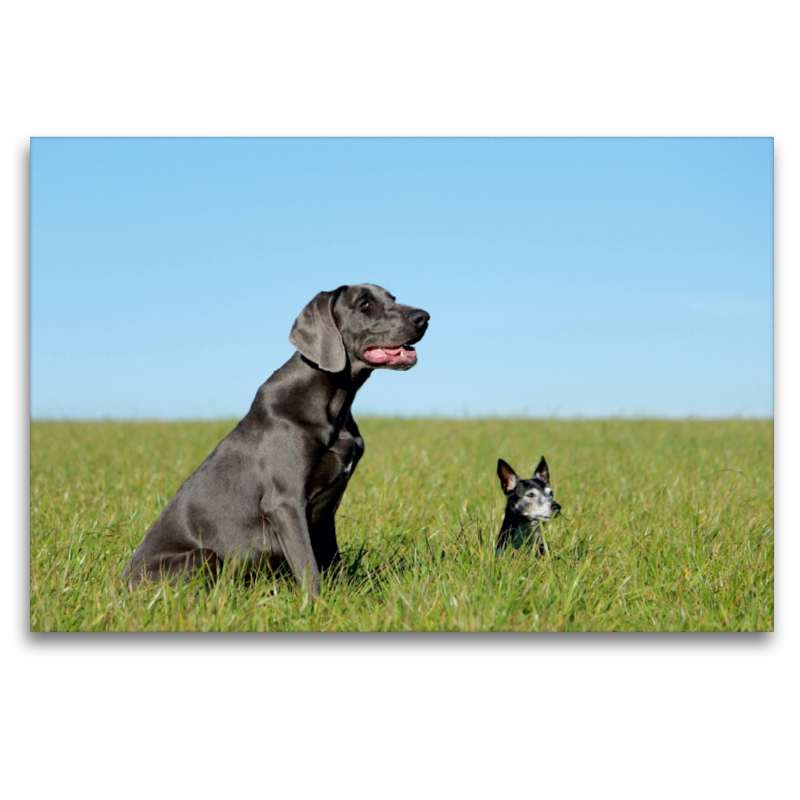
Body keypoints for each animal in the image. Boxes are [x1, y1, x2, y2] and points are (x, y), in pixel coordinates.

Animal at [119, 286, 428, 592]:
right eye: (365, 304)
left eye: (392, 298)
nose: (424, 317)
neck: (333, 405)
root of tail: (120, 584)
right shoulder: (285, 503)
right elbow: (308, 567)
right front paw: (316, 603)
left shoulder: (326, 511)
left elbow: (332, 563)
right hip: (201, 556)